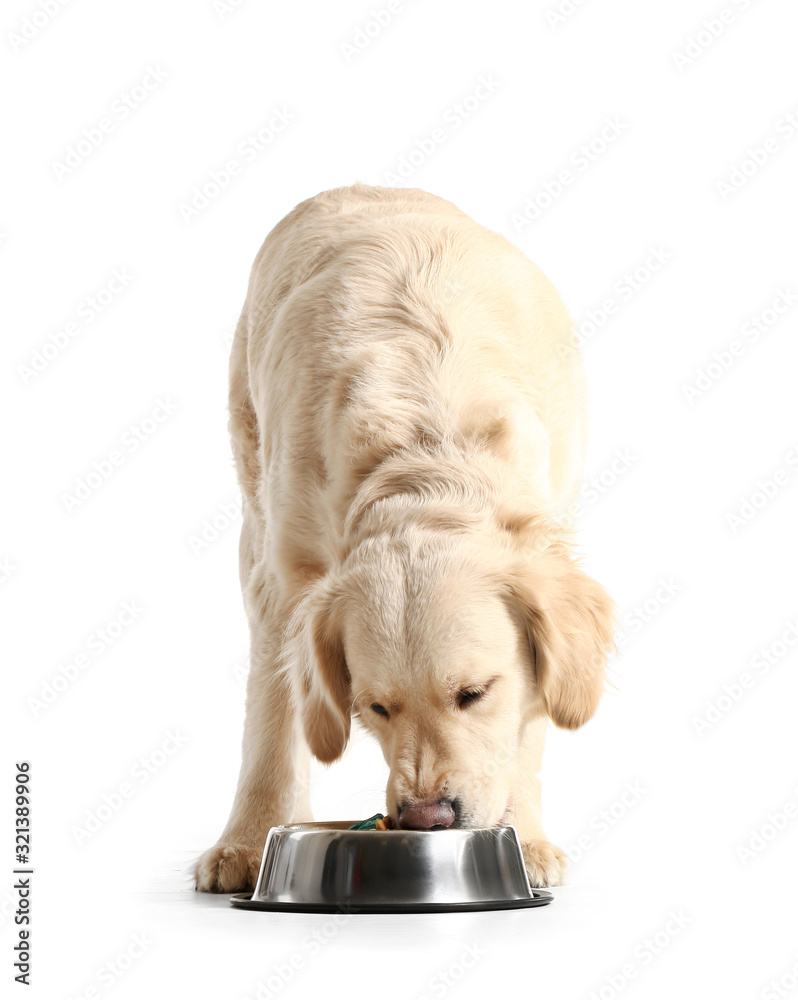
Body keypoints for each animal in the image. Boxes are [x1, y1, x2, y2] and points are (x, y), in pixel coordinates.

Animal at [195, 184, 620, 896]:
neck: (428, 453)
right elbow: (276, 714)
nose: (426, 818)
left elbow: (529, 718)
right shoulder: (287, 574)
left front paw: (525, 838)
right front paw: (250, 843)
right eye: (376, 707)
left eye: (473, 693)